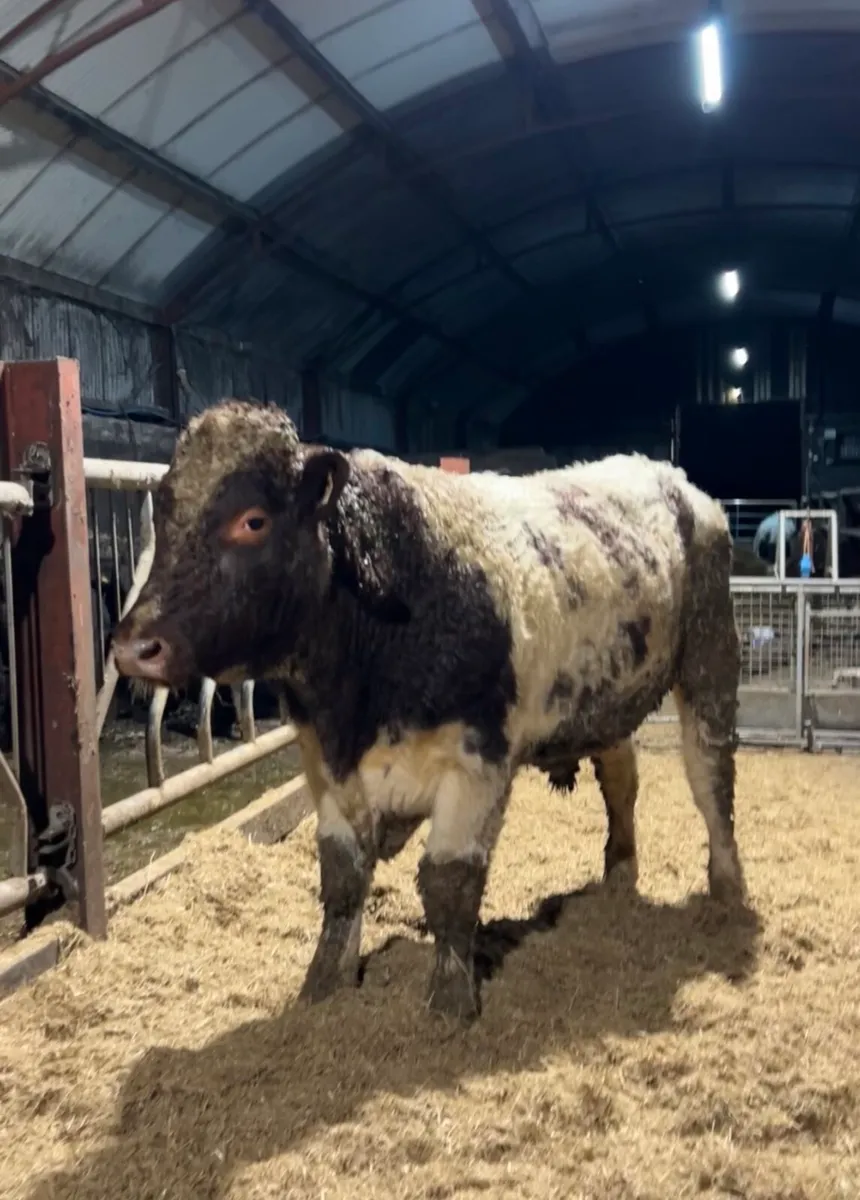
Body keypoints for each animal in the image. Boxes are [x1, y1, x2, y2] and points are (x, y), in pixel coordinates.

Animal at [112, 401, 747, 1022]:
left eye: (252, 520)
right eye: (164, 513)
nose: (134, 648)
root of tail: (668, 476)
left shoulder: (478, 760)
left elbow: (449, 883)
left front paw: (449, 1004)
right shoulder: (324, 762)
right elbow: (342, 878)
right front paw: (322, 986)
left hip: (712, 657)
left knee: (711, 779)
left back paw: (729, 893)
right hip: (607, 698)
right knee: (621, 782)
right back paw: (619, 874)